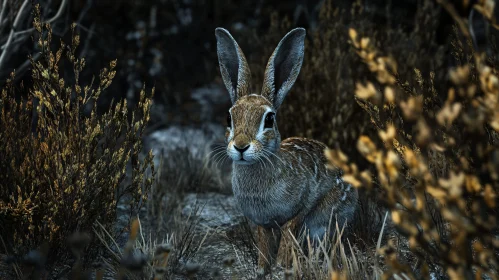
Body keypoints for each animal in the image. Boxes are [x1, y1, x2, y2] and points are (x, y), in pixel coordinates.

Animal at [215, 26, 360, 276]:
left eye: (269, 119)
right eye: (229, 117)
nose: (241, 146)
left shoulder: (299, 210)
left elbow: (287, 237)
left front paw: (283, 267)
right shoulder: (260, 222)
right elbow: (264, 244)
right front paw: (262, 270)